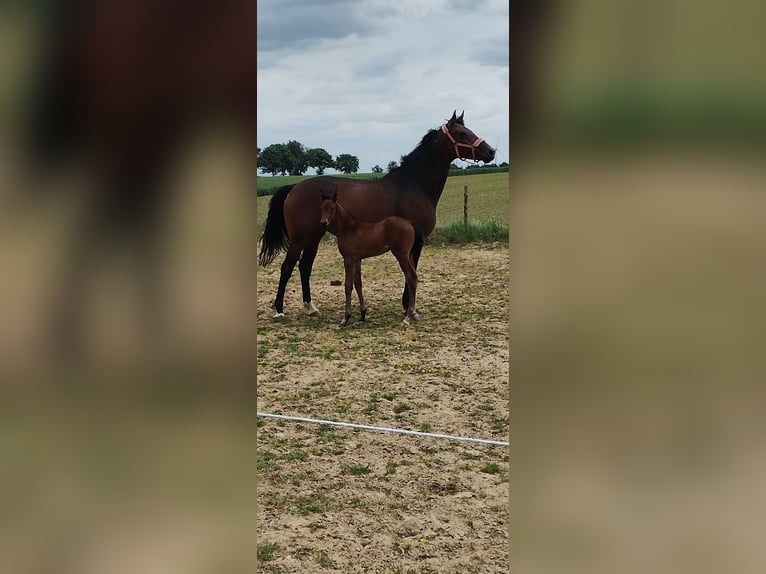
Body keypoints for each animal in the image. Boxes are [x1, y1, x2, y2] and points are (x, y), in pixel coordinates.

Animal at [319, 187, 422, 327]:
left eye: (333, 208)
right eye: (322, 207)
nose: (324, 223)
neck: (348, 229)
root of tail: (409, 222)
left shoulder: (348, 259)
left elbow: (348, 285)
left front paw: (346, 318)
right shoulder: (357, 259)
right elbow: (358, 284)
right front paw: (362, 314)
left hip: (401, 255)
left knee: (411, 277)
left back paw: (408, 317)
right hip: (409, 255)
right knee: (413, 278)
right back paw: (412, 313)